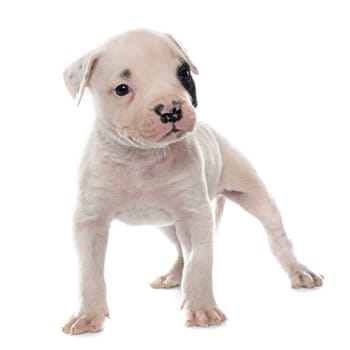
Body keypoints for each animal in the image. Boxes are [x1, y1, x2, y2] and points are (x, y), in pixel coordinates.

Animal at [60, 29, 322, 334]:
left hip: (253, 194)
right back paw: (173, 275)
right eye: (122, 88)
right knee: (180, 250)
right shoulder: (90, 221)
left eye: (183, 72)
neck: (142, 159)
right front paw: (87, 315)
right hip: (167, 224)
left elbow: (199, 262)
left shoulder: (195, 215)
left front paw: (201, 308)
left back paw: (298, 271)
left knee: (276, 234)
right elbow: (88, 271)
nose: (171, 110)